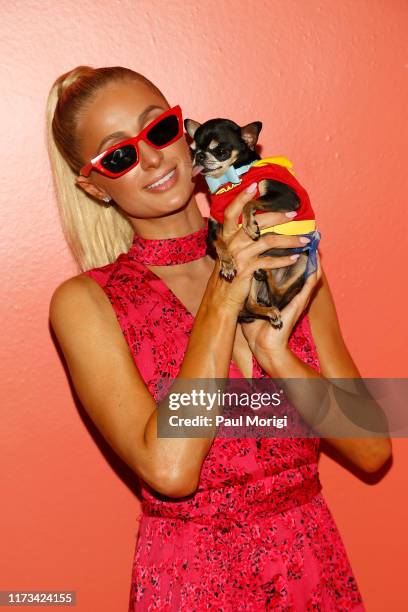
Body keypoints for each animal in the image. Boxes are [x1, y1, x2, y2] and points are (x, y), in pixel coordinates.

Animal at [183, 118, 320, 330]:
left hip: (303, 260)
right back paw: (267, 299)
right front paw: (227, 263)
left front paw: (249, 224)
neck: (228, 182)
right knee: (254, 303)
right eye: (192, 150)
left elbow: (249, 202)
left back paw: (267, 277)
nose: (199, 156)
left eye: (220, 150)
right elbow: (219, 242)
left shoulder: (288, 198)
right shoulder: (213, 228)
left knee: (277, 297)